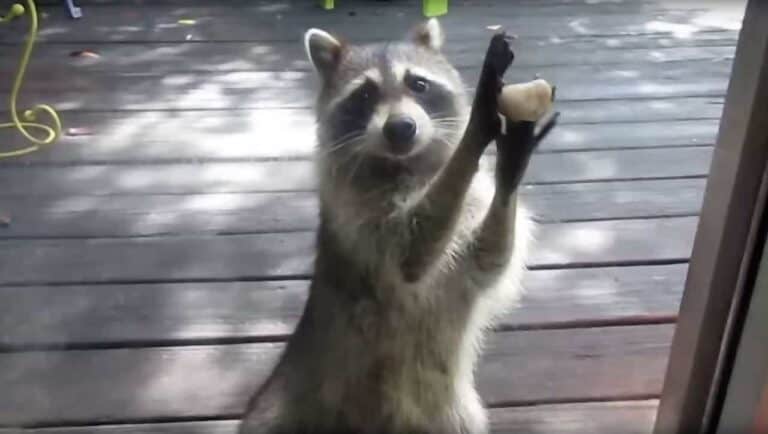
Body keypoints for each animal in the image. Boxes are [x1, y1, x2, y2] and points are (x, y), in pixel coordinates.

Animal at [240, 19, 549, 434]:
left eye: (418, 84)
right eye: (365, 93)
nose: (401, 128)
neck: (407, 166)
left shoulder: (470, 223)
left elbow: (490, 257)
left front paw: (509, 171)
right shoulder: (356, 216)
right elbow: (411, 251)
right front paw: (475, 128)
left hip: (454, 415)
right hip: (286, 401)